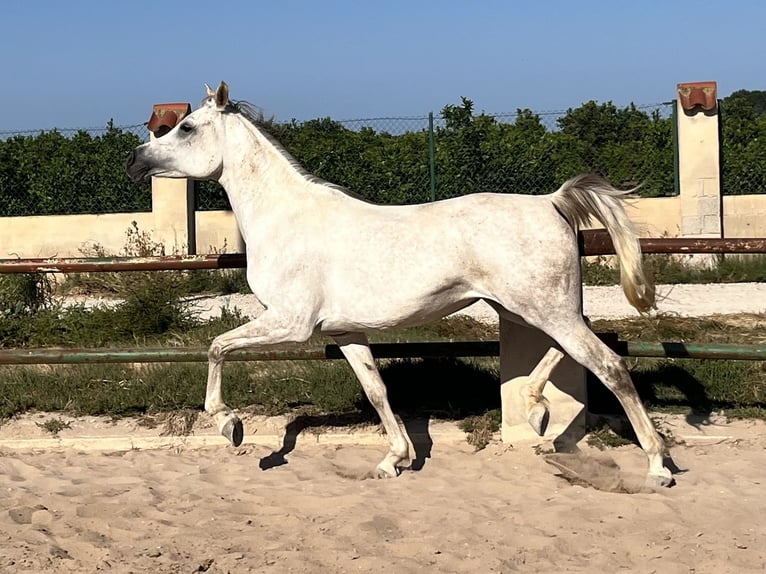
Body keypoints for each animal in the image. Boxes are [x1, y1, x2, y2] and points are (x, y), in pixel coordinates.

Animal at [129, 81, 676, 488]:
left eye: (186, 127)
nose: (135, 160)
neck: (286, 219)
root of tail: (551, 202)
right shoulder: (343, 331)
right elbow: (376, 390)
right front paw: (392, 460)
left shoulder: (291, 323)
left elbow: (217, 347)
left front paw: (231, 426)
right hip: (530, 307)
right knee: (579, 347)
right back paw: (537, 410)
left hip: (545, 309)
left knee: (608, 364)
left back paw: (656, 467)